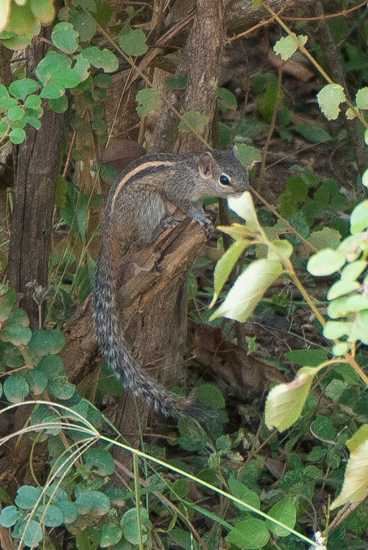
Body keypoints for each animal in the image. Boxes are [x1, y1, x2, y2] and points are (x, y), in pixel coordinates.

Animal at [92, 149, 249, 420]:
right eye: (224, 180)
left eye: (243, 170)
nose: (245, 190)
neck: (195, 175)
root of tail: (110, 230)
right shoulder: (177, 188)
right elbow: (186, 204)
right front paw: (199, 217)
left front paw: (206, 216)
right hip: (146, 202)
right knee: (142, 239)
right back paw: (160, 228)